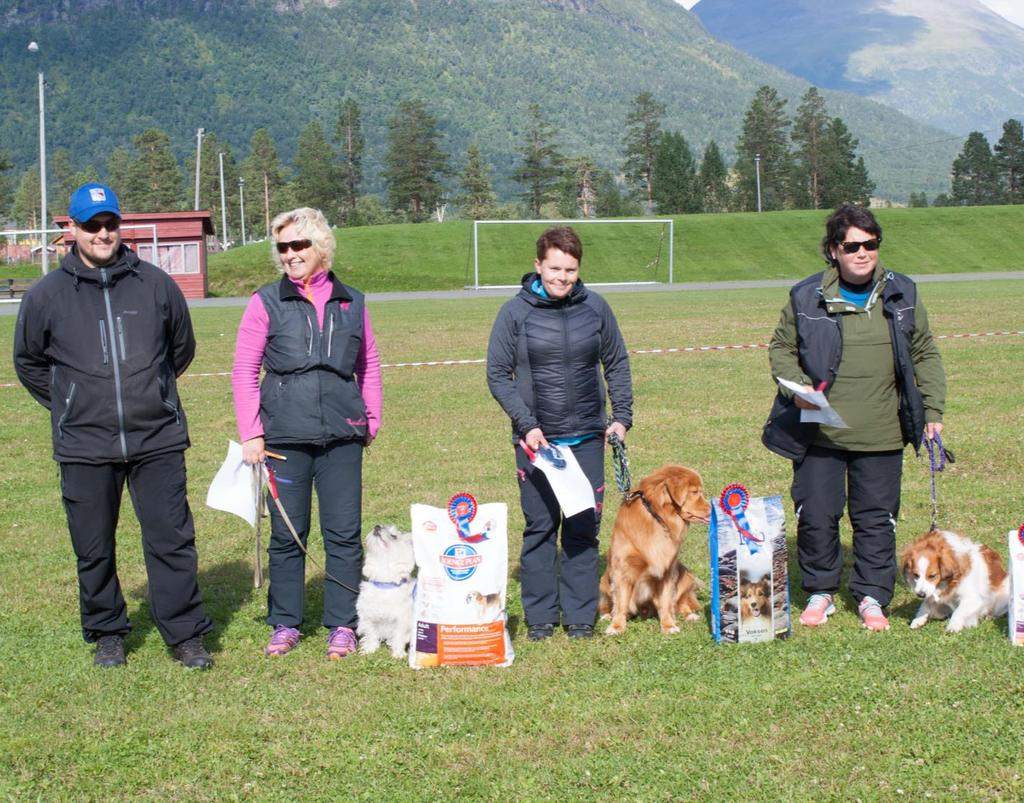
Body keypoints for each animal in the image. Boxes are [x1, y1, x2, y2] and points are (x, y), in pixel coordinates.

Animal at [354, 524, 413, 655]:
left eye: (394, 536)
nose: (377, 526)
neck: (384, 584)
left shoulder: (402, 619)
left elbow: (399, 636)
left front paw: (398, 654)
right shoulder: (367, 616)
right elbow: (370, 634)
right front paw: (369, 650)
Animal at [598, 465, 712, 635]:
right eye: (695, 492)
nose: (712, 509)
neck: (658, 518)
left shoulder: (667, 569)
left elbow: (665, 602)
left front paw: (668, 625)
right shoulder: (622, 569)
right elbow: (621, 602)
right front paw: (616, 625)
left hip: (685, 576)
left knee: (682, 602)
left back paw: (689, 615)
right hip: (604, 580)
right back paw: (606, 615)